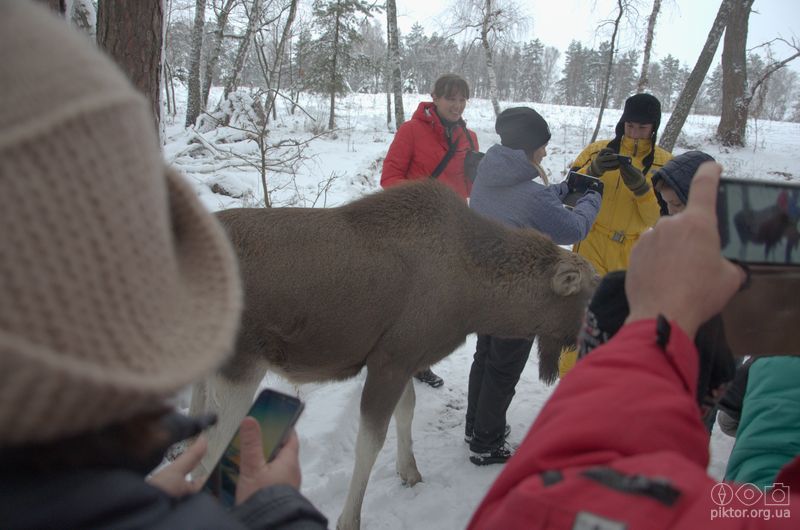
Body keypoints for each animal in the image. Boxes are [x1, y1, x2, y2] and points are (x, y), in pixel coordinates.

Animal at [191, 179, 596, 524]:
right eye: (591, 294)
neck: (475, 300)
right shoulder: (389, 362)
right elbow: (370, 443)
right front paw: (349, 518)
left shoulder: (404, 358)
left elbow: (407, 411)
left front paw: (410, 472)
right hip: (242, 363)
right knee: (214, 446)